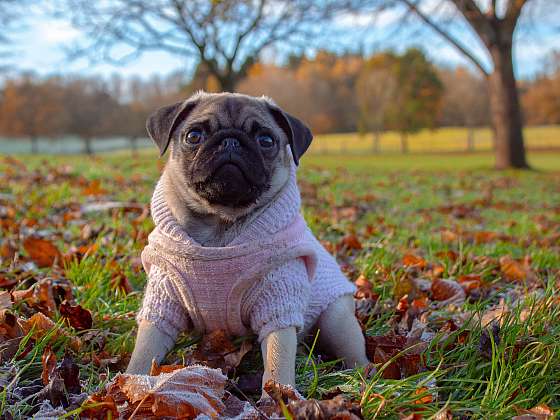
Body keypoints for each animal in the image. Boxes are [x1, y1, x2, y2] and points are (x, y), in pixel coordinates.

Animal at [128, 92, 372, 394]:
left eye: (266, 140)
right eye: (194, 136)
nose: (231, 141)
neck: (220, 225)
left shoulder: (278, 301)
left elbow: (278, 359)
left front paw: (279, 397)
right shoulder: (163, 299)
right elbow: (145, 348)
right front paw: (130, 381)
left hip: (337, 319)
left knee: (352, 350)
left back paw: (363, 378)